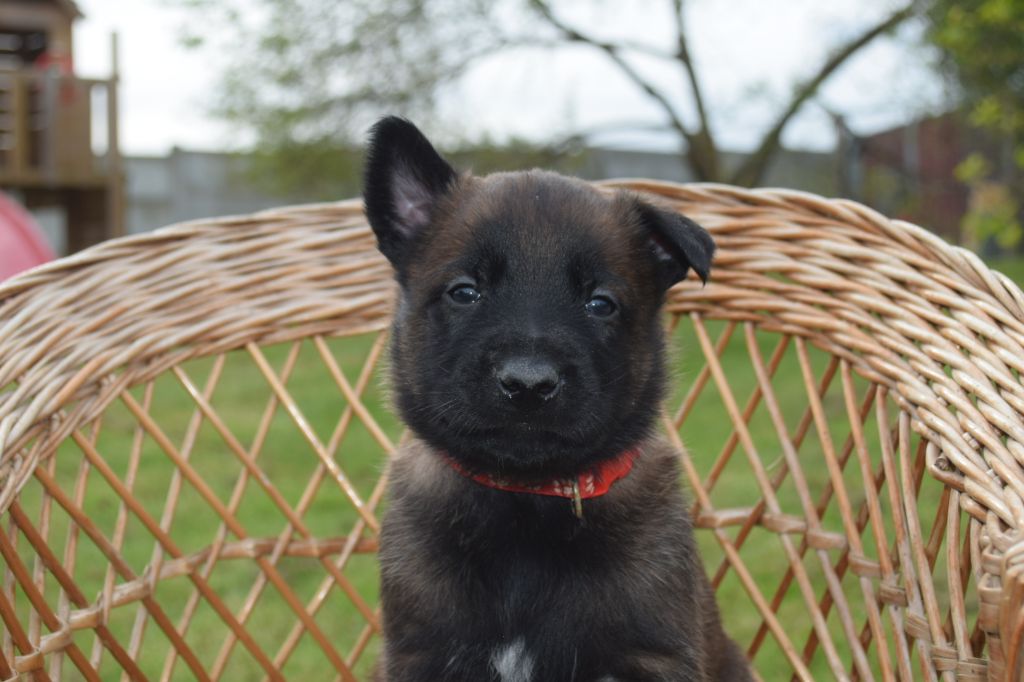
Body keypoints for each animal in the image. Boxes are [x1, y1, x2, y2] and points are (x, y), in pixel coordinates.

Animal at [363, 116, 752, 681]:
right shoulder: (421, 654)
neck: (526, 504)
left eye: (600, 303)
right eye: (464, 291)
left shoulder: (650, 656)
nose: (528, 384)